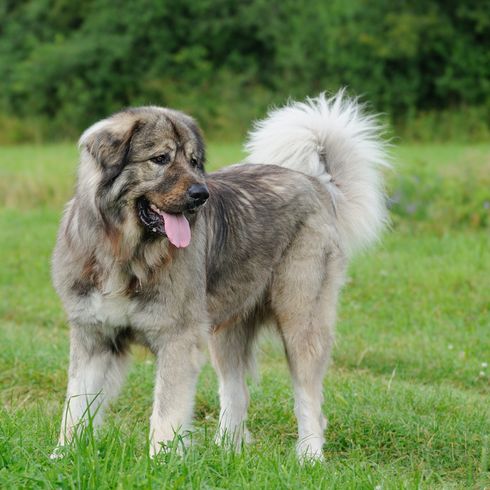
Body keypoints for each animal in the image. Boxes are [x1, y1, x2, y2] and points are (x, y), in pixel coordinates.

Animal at [51, 91, 390, 460]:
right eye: (160, 159)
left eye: (193, 161)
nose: (201, 195)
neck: (127, 254)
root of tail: (317, 183)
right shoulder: (94, 337)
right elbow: (75, 407)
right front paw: (63, 457)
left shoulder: (177, 339)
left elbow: (165, 412)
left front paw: (161, 462)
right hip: (226, 329)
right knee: (236, 391)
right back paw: (227, 451)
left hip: (301, 321)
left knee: (308, 399)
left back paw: (309, 457)